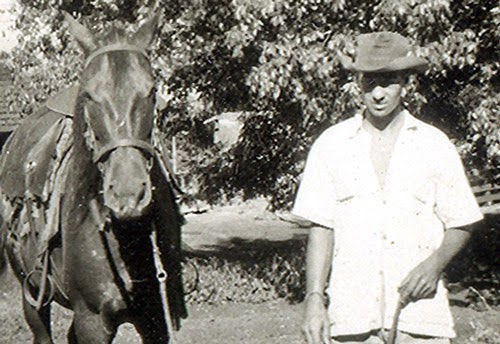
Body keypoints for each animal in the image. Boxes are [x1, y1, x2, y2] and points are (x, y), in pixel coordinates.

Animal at [0, 11, 187, 344]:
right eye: (88, 95)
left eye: (152, 91)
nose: (128, 195)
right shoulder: (93, 321)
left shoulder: (154, 319)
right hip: (31, 293)